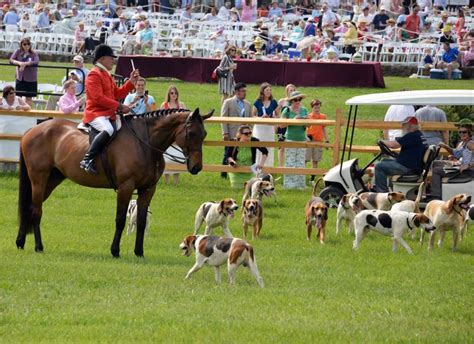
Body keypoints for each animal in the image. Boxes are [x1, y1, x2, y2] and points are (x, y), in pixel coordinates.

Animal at [17, 109, 213, 256]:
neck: (145, 143)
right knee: (36, 211)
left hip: (52, 180)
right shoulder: (125, 187)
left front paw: (139, 252)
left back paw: (20, 242)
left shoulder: (148, 189)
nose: (196, 167)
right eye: (191, 133)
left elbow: (141, 221)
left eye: (204, 134)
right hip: (39, 179)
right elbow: (120, 220)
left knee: (30, 207)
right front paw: (115, 251)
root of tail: (32, 130)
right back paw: (38, 246)